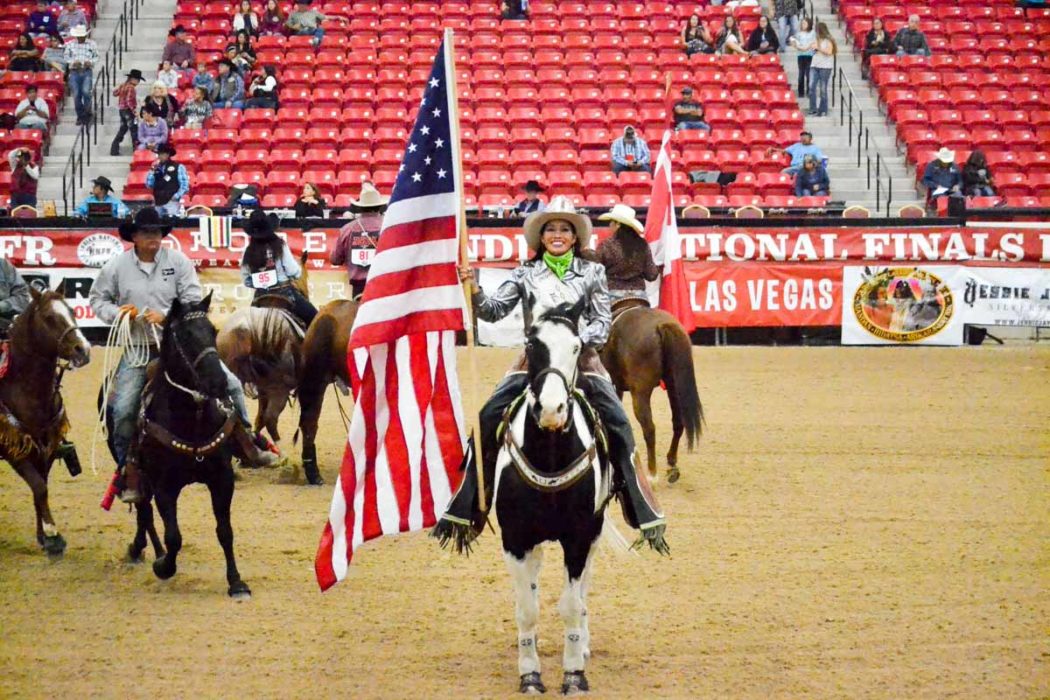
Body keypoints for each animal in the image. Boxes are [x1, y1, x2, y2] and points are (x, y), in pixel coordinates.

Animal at [0, 287, 91, 554]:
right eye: (49, 318)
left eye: (72, 311)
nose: (83, 349)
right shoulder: (13, 446)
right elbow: (39, 487)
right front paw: (53, 534)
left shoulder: (46, 446)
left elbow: (41, 487)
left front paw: (44, 536)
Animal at [495, 300, 613, 696]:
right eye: (532, 345)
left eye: (576, 347)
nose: (550, 410)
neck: (548, 454)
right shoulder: (515, 540)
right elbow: (526, 609)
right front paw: (529, 674)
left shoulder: (578, 538)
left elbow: (571, 606)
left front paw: (574, 673)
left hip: (594, 533)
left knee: (584, 589)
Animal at [600, 306, 705, 482]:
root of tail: (661, 325)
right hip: (673, 386)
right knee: (678, 422)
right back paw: (671, 465)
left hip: (640, 392)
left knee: (649, 428)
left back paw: (652, 473)